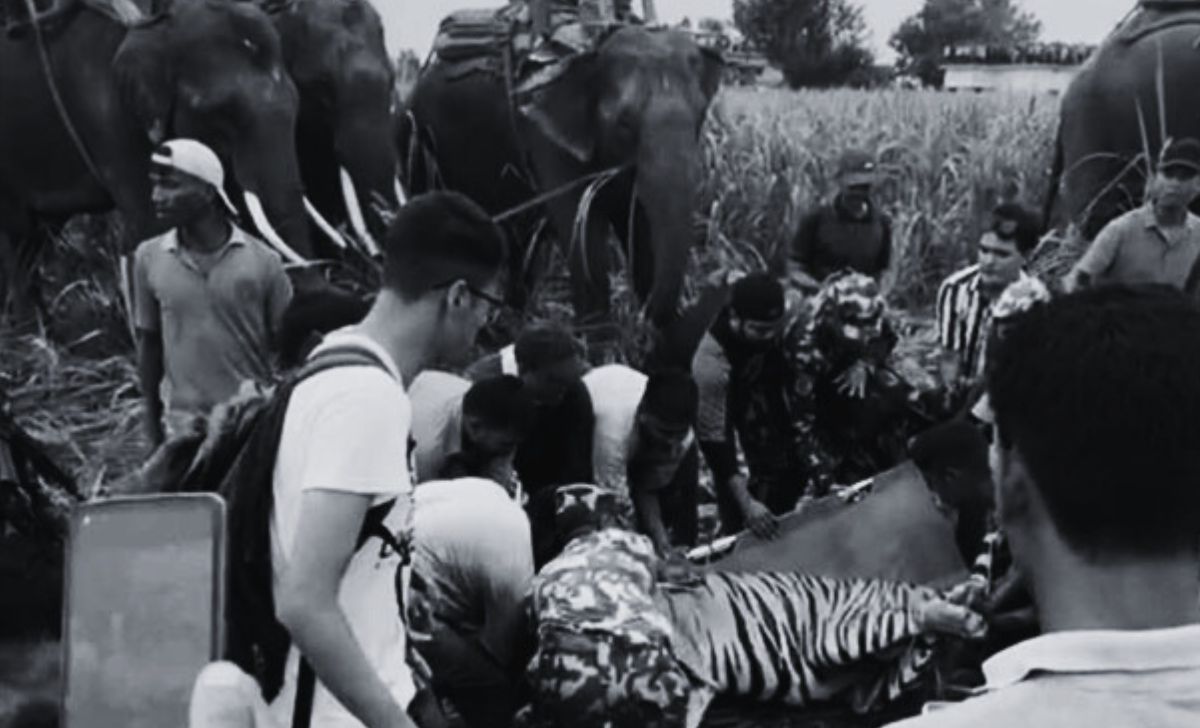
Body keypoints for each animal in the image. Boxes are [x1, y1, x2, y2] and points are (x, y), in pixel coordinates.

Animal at [400, 22, 720, 331]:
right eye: (624, 123)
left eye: (701, 115)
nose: (644, 318)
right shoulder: (547, 139)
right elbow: (585, 239)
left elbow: (640, 229)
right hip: (416, 146)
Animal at [657, 573, 984, 724]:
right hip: (865, 688)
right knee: (920, 646)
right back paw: (966, 601)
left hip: (832, 638)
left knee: (917, 614)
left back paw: (968, 610)